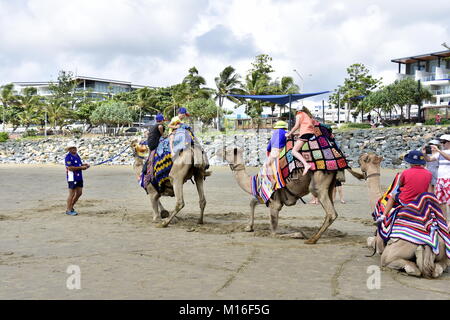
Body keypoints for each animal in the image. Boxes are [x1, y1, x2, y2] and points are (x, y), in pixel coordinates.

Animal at [219, 148, 366, 245]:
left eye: (228, 151)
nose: (219, 152)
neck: (254, 181)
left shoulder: (274, 203)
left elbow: (274, 233)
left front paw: (299, 234)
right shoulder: (266, 197)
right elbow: (252, 201)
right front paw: (248, 227)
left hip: (318, 183)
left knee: (331, 212)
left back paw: (312, 239)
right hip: (330, 185)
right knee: (330, 210)